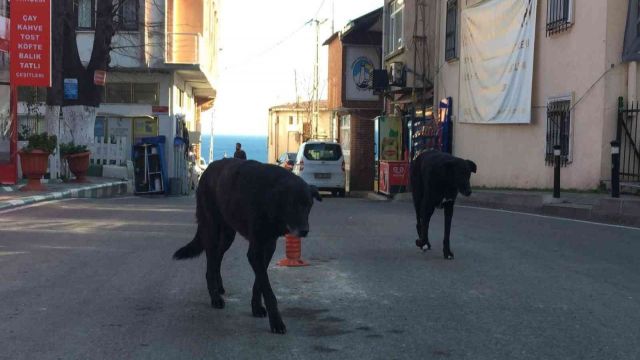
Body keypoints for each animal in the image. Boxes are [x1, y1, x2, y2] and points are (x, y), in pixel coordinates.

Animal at [172, 159, 320, 334]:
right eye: (292, 205)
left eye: (309, 205)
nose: (304, 231)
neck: (270, 200)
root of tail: (207, 170)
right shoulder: (255, 251)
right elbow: (267, 288)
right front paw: (276, 321)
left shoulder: (269, 247)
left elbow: (259, 282)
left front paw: (256, 307)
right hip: (212, 231)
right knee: (211, 263)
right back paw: (215, 298)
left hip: (228, 235)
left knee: (217, 259)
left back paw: (218, 286)